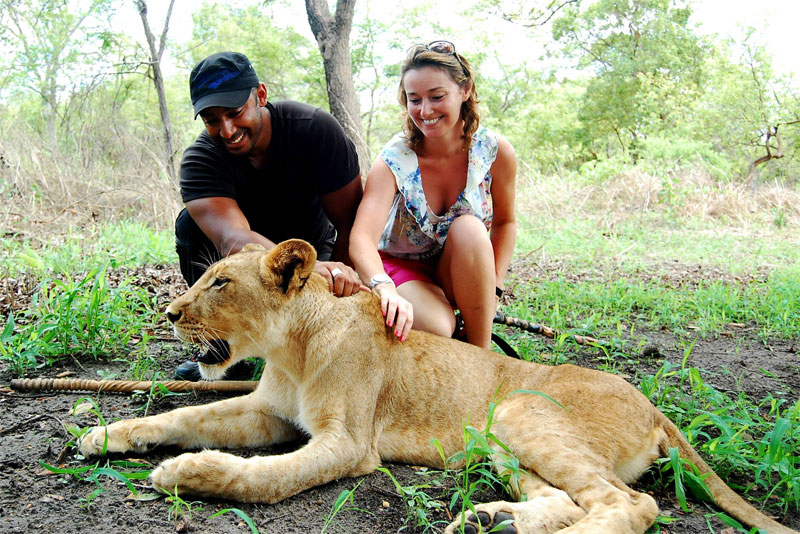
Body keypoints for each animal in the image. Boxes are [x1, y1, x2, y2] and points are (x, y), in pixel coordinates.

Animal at [78, 243, 796, 534]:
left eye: (221, 283)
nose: (170, 313)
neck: (292, 349)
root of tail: (652, 404)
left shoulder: (349, 445)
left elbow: (267, 477)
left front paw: (187, 474)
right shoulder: (267, 412)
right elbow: (186, 419)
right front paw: (108, 435)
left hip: (522, 412)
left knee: (630, 505)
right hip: (503, 441)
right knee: (569, 499)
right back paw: (491, 522)